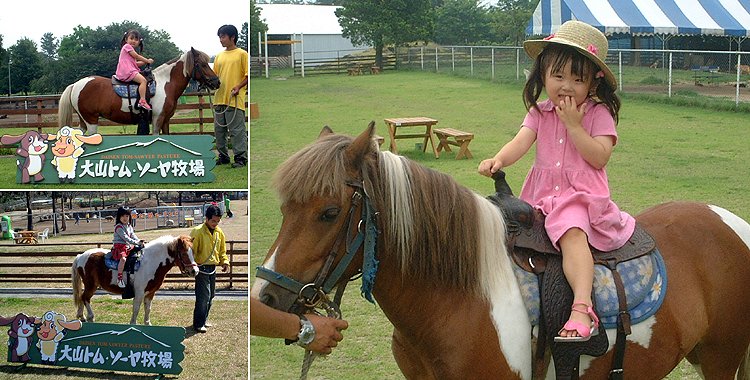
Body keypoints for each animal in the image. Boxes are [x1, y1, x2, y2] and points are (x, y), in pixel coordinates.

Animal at [59, 48, 219, 136]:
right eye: (203, 64)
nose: (217, 82)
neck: (165, 83)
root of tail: (75, 85)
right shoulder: (157, 118)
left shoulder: (166, 119)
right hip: (91, 120)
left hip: (84, 120)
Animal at [251, 123, 750, 378]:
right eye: (284, 207)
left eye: (329, 212)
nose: (267, 298)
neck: (457, 299)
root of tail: (730, 221)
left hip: (723, 358)